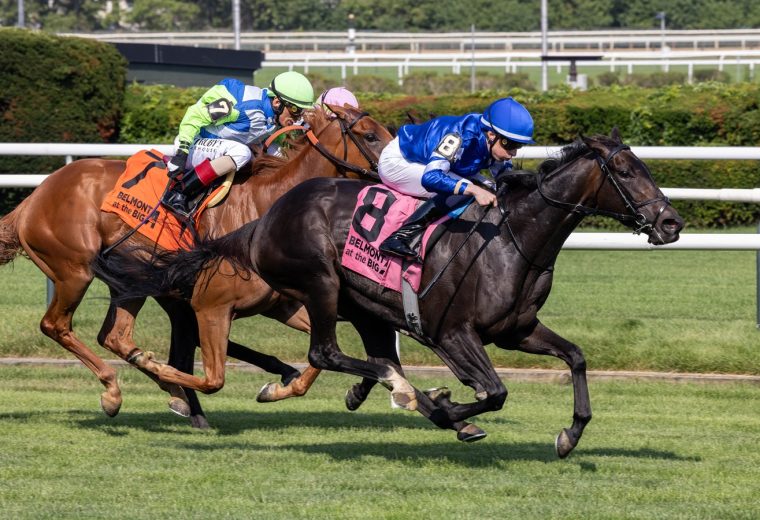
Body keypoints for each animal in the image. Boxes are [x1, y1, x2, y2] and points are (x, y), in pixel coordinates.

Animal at [0, 105, 392, 426]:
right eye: (370, 135)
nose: (397, 171)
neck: (265, 203)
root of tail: (33, 198)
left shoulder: (279, 303)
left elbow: (320, 353)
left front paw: (302, 387)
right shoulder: (210, 301)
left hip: (129, 283)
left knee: (115, 336)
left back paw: (164, 389)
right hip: (74, 272)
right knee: (56, 325)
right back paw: (116, 390)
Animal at [98, 130, 680, 456]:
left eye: (645, 166)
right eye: (625, 170)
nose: (671, 223)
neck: (510, 241)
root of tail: (261, 221)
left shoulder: (517, 330)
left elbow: (576, 358)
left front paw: (569, 435)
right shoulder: (453, 333)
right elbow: (493, 392)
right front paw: (447, 406)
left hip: (366, 306)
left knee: (369, 354)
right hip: (322, 283)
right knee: (326, 352)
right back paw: (403, 391)